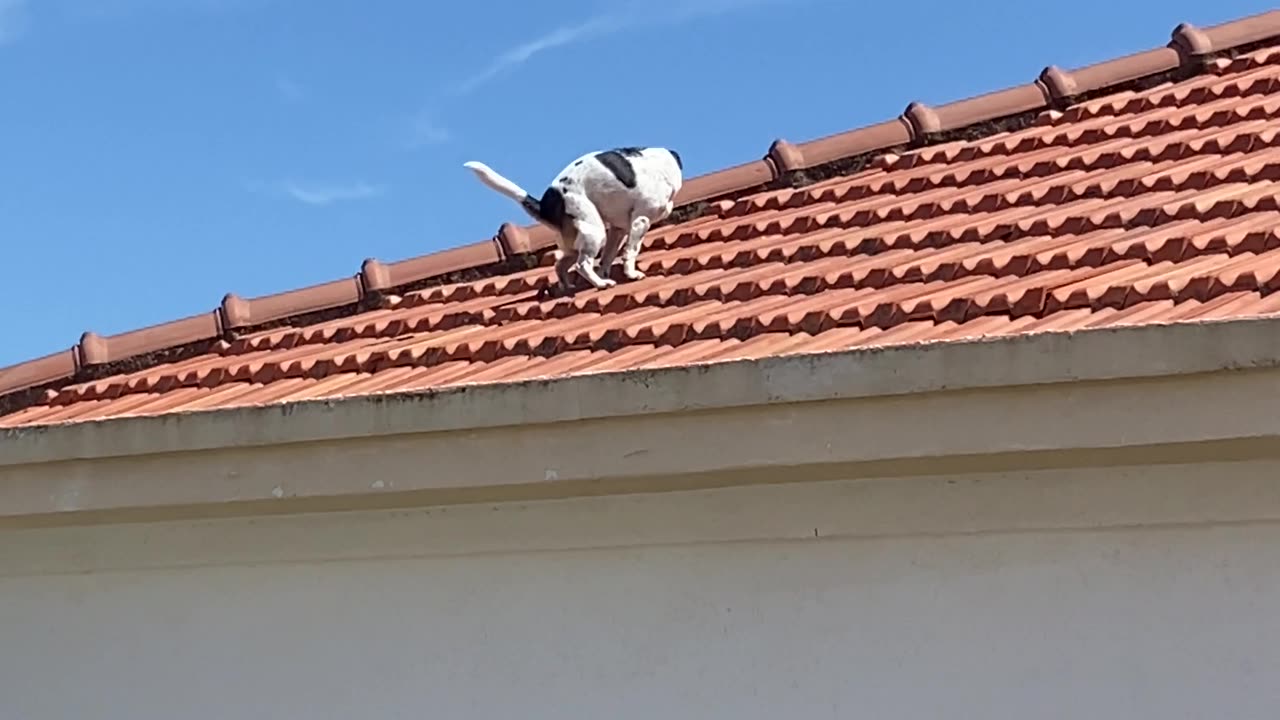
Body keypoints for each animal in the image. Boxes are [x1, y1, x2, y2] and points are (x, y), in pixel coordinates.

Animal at [465, 147, 686, 293]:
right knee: (582, 265)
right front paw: (631, 274)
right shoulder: (640, 221)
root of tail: (545, 204)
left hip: (578, 242)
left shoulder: (617, 229)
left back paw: (569, 286)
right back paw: (600, 284)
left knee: (560, 265)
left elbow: (607, 258)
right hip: (595, 232)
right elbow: (630, 252)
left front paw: (605, 273)